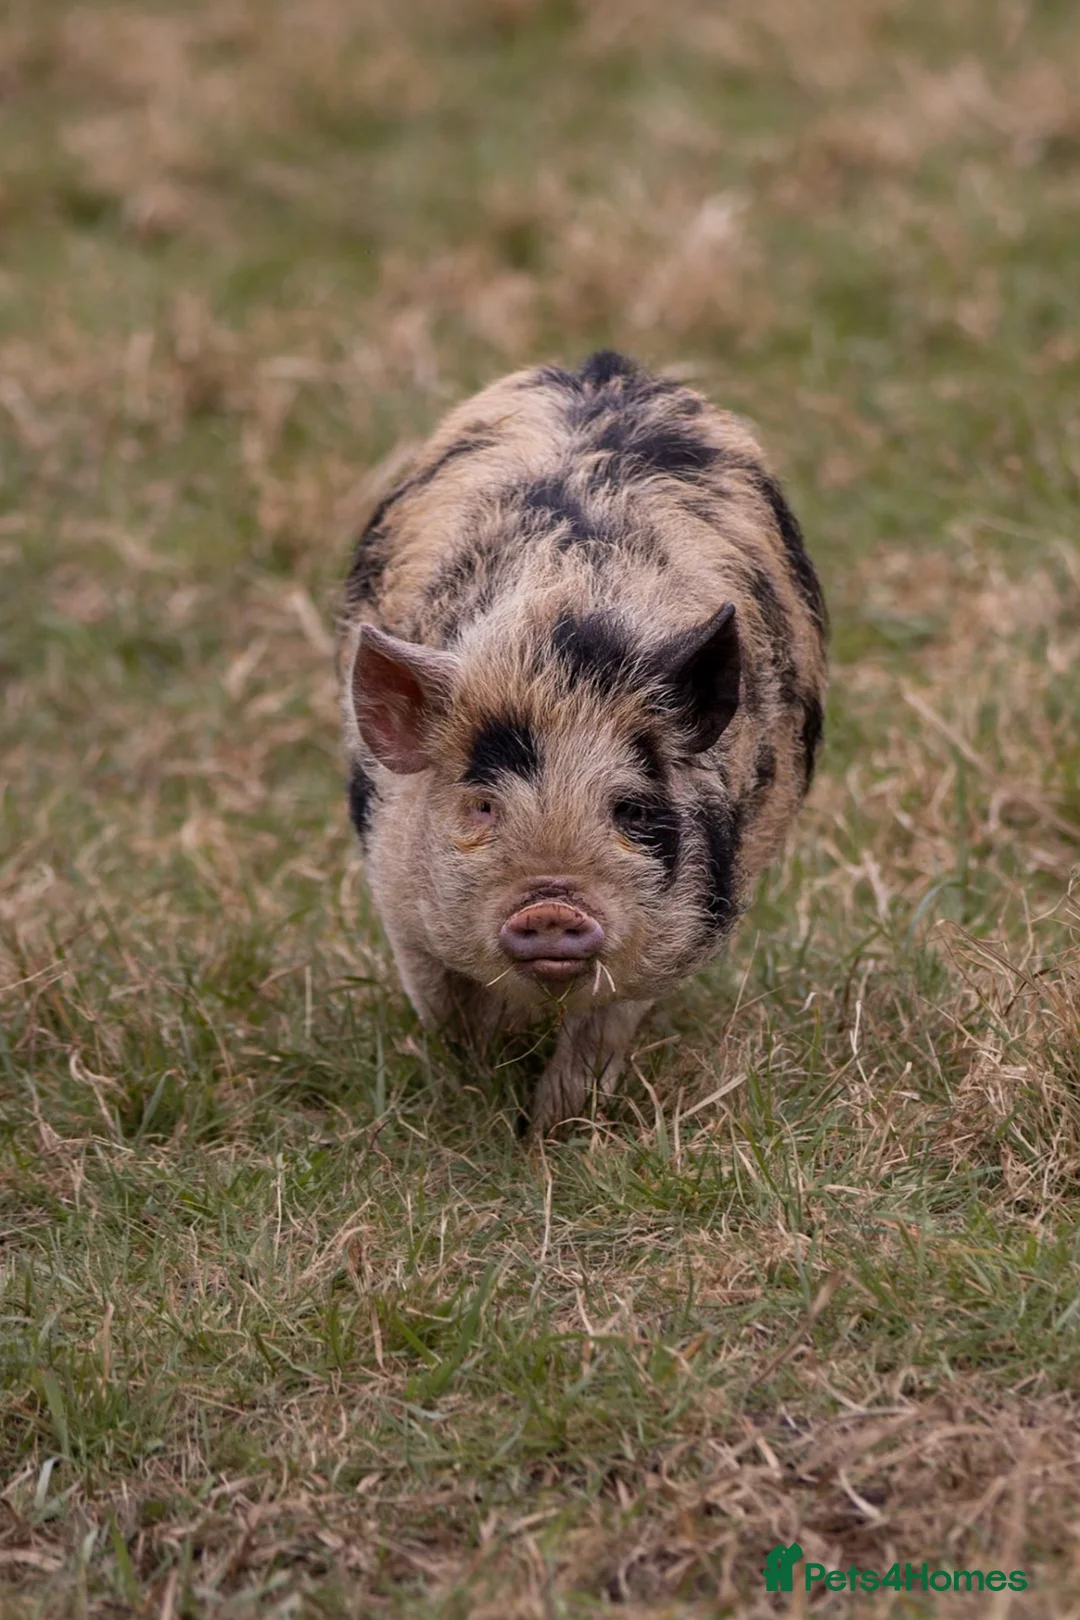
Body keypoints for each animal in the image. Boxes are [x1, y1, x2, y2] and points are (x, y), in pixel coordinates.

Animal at [339, 351, 827, 1137]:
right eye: (481, 807)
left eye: (631, 811)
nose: (551, 905)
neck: (559, 651)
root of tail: (607, 367)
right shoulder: (396, 894)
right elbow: (451, 1013)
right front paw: (484, 1094)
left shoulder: (683, 927)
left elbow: (602, 1036)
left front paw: (553, 1134)